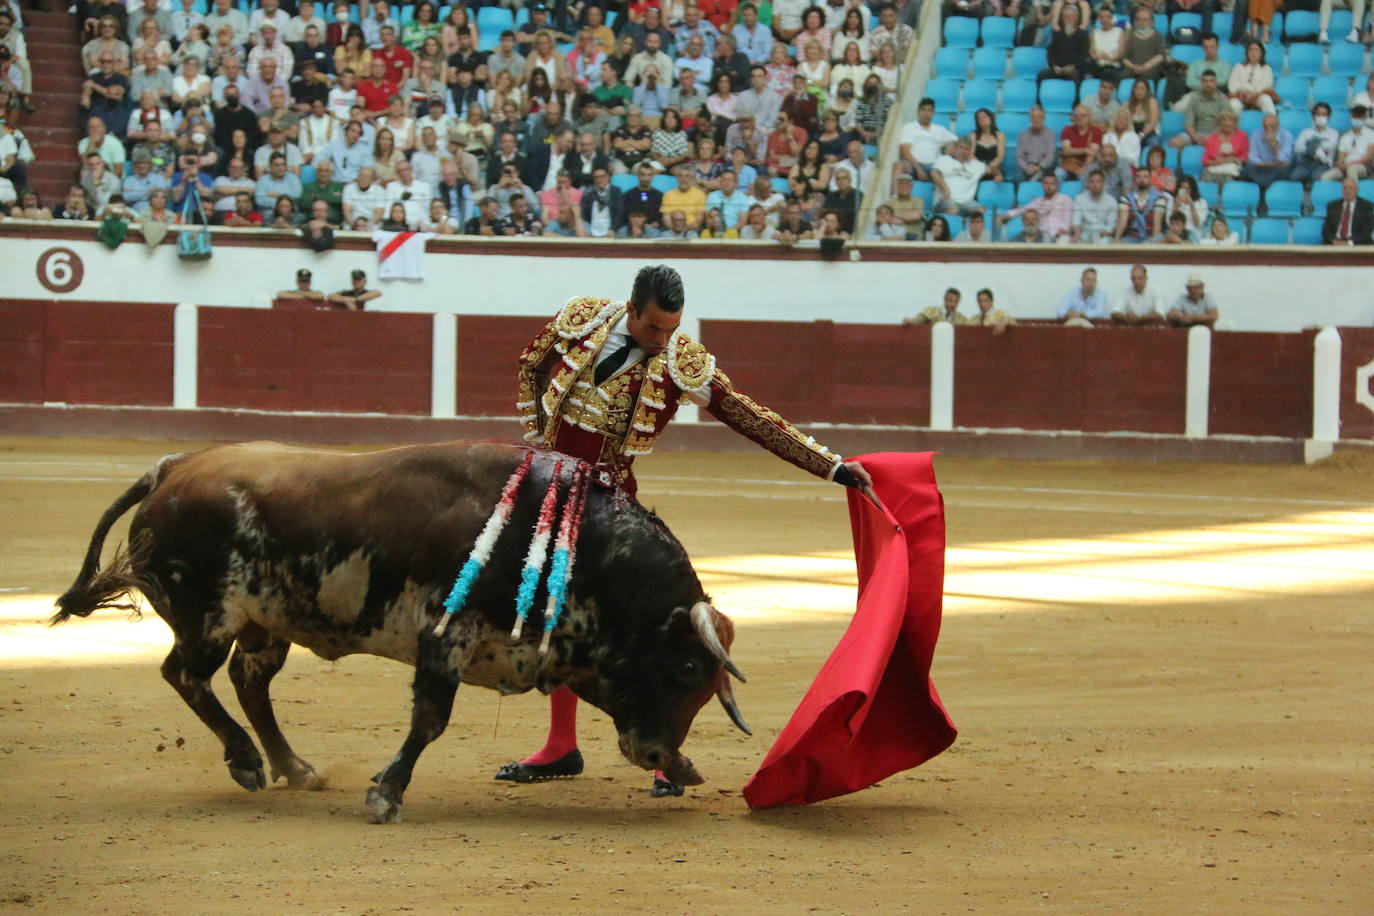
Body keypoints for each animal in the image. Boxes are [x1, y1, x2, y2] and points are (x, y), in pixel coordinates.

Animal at [50, 439, 752, 829]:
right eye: (690, 668)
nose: (671, 761)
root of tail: (175, 466)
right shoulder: (445, 640)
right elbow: (430, 721)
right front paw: (385, 795)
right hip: (208, 617)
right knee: (186, 674)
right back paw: (248, 762)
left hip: (263, 624)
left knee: (249, 683)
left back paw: (294, 768)